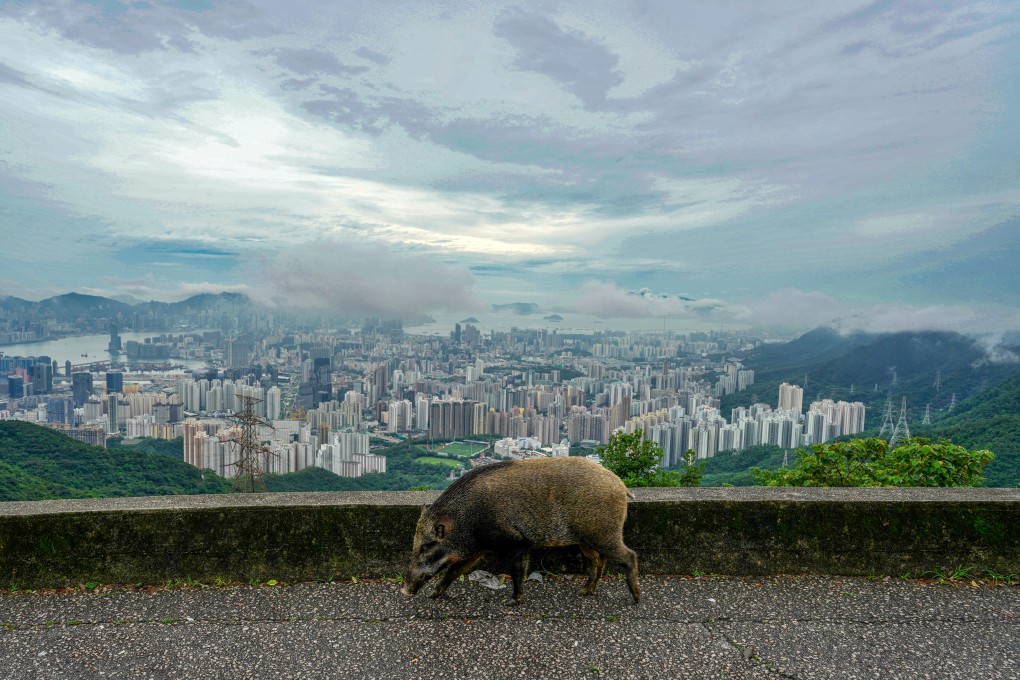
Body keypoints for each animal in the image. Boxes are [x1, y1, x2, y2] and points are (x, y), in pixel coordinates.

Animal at [400, 456, 640, 604]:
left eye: (428, 545)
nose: (405, 590)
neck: (465, 520)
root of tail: (621, 486)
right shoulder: (477, 549)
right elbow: (454, 570)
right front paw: (433, 595)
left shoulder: (516, 541)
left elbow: (516, 571)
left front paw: (512, 601)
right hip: (587, 540)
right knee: (599, 561)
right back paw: (584, 592)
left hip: (603, 533)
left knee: (629, 555)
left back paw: (636, 598)